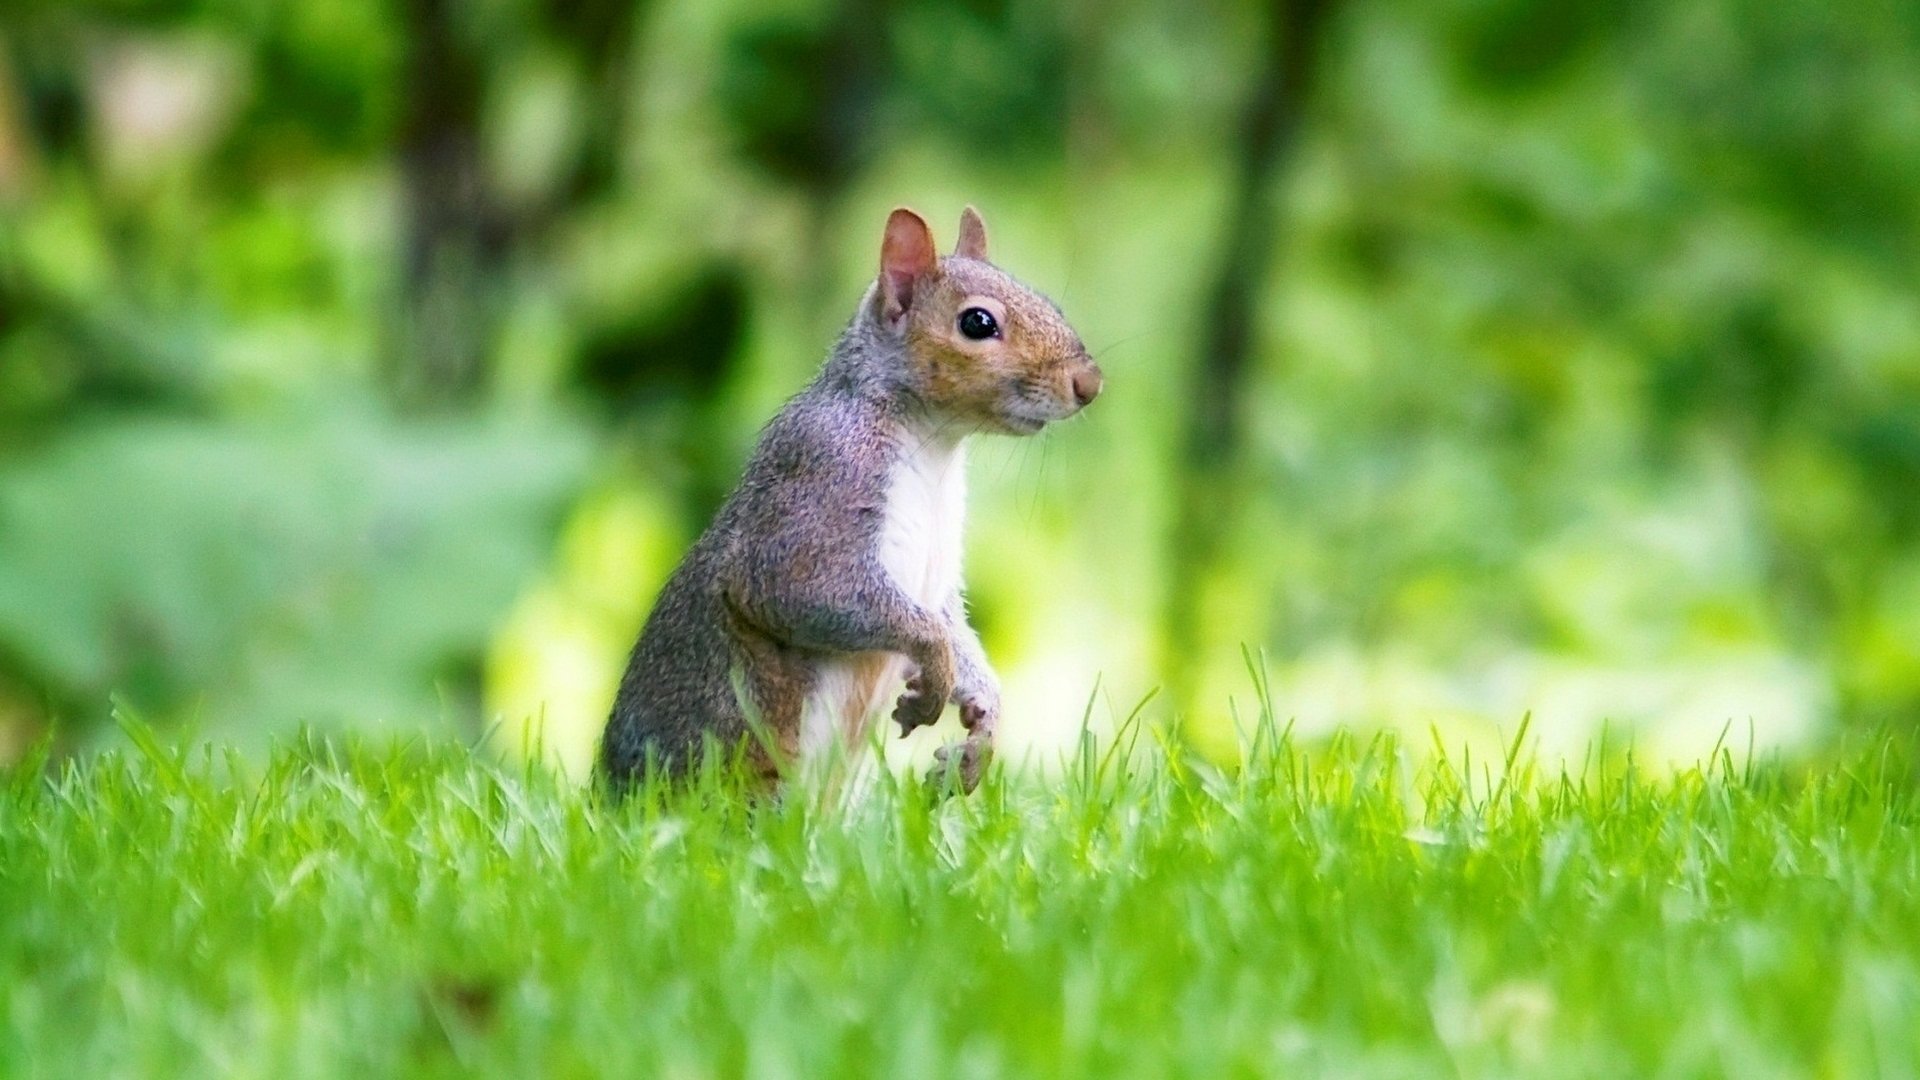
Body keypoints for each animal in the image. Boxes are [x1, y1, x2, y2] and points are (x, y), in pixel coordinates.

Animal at [599, 205, 1102, 795]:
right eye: (978, 323)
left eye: (1050, 302)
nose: (1089, 383)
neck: (934, 444)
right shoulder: (820, 481)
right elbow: (803, 592)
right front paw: (935, 675)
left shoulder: (936, 575)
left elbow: (952, 626)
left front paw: (982, 728)